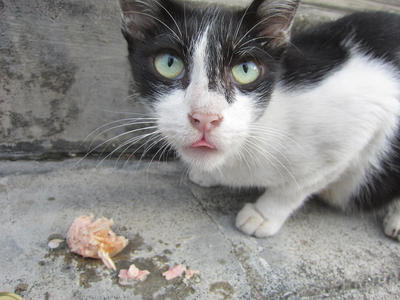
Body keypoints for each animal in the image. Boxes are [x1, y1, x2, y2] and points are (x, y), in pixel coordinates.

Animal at [118, 0, 400, 239]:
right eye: (169, 63)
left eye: (246, 70)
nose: (205, 117)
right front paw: (207, 174)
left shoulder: (360, 122)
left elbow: (296, 186)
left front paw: (263, 214)